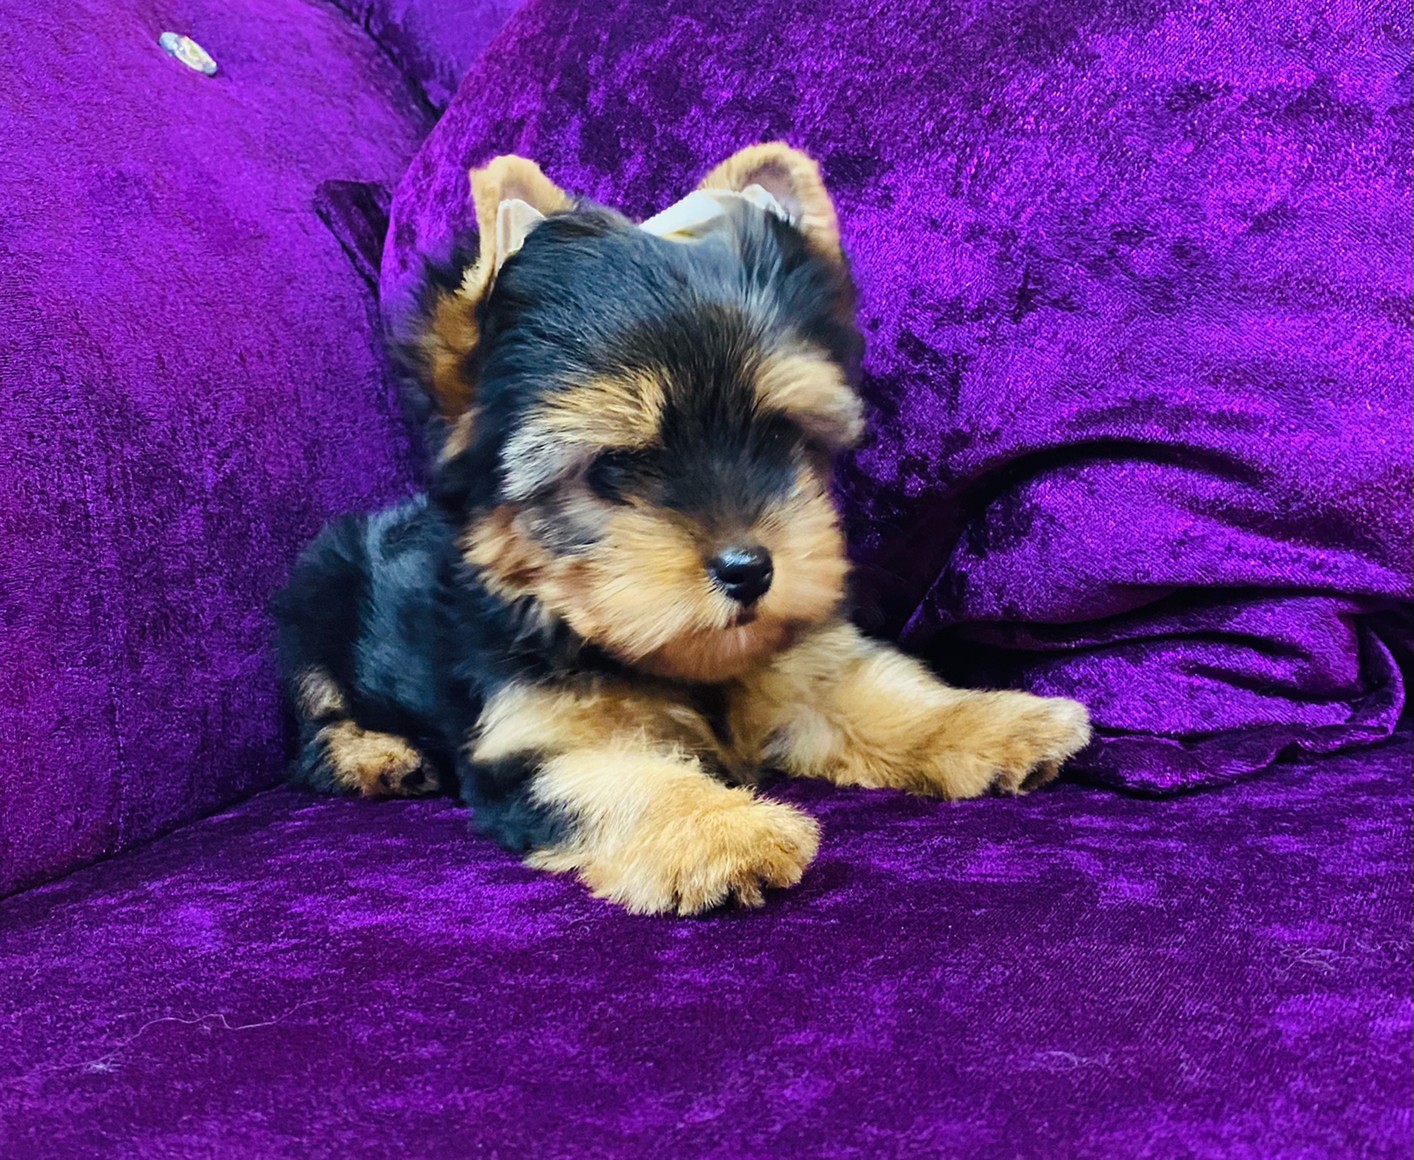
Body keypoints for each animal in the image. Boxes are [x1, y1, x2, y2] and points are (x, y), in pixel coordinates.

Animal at [272, 144, 1091, 915]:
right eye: (615, 467)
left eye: (777, 434)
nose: (749, 568)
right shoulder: (535, 736)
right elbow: (619, 777)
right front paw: (724, 832)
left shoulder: (801, 664)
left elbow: (875, 694)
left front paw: (991, 721)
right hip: (315, 592)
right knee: (316, 713)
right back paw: (374, 755)